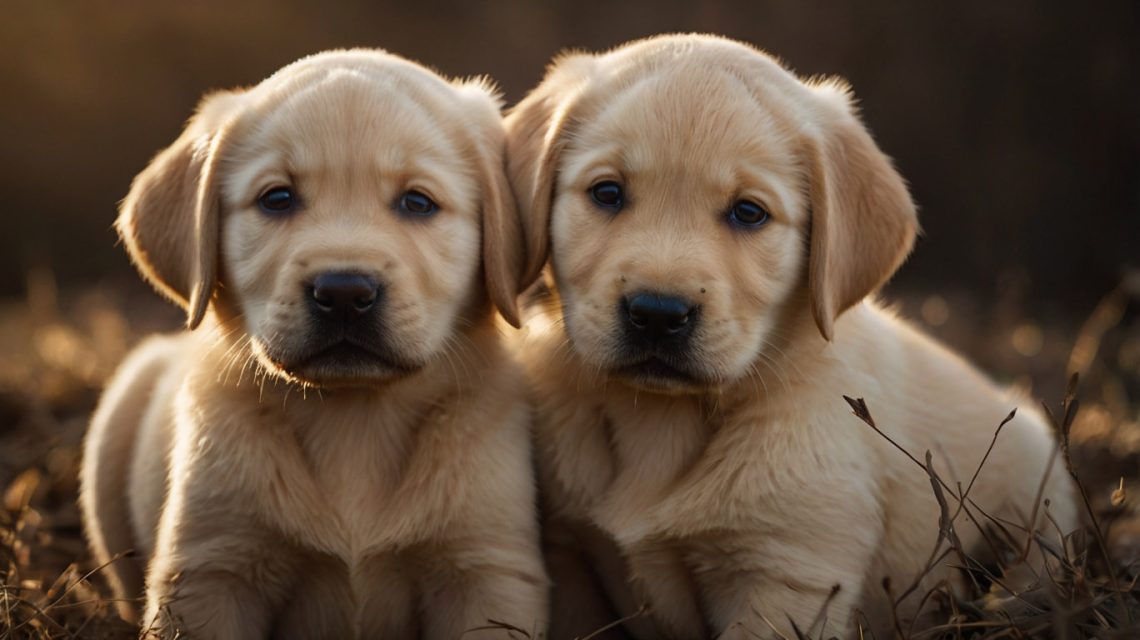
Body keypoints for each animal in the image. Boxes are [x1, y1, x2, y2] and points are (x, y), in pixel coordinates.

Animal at [78, 49, 544, 638]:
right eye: (277, 198)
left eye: (418, 202)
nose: (344, 293)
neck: (354, 420)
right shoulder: (212, 571)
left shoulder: (486, 570)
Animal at [506, 36, 1076, 638]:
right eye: (607, 193)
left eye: (748, 212)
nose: (658, 313)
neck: (662, 420)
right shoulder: (570, 561)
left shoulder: (787, 577)